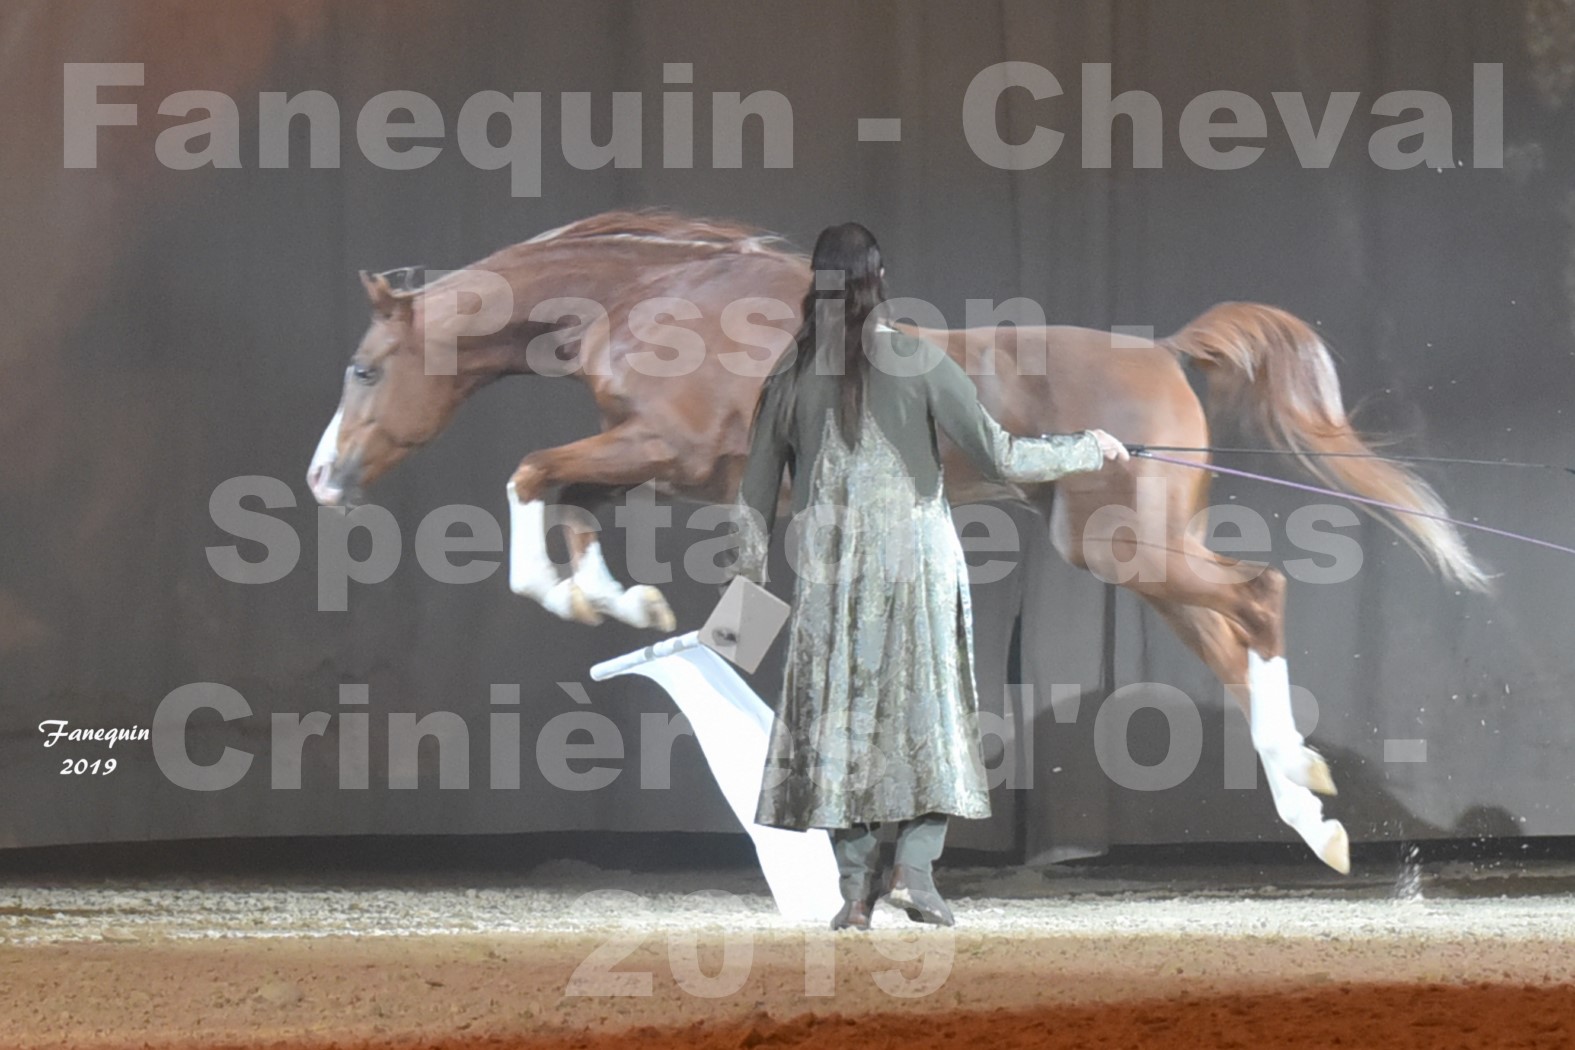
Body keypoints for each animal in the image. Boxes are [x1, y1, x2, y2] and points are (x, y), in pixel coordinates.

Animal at [307, 209, 1486, 875]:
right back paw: (1311, 815)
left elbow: (531, 476)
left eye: (364, 368)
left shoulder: (675, 450)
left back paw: (1308, 799)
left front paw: (585, 598)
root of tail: (1164, 350)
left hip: (1131, 548)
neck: (658, 298)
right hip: (1131, 556)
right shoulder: (660, 457)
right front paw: (622, 603)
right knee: (1235, 644)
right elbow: (571, 497)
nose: (324, 477)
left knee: (1260, 598)